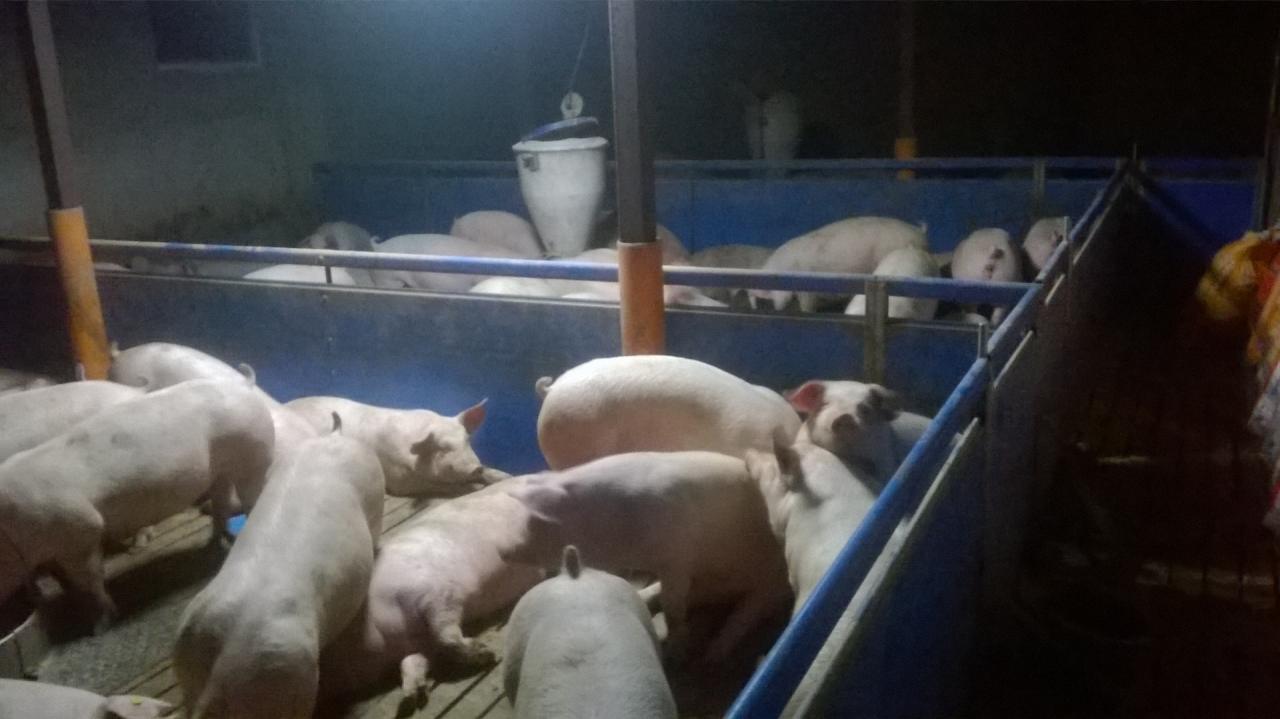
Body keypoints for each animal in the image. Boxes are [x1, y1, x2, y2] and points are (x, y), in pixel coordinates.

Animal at [284, 396, 497, 496]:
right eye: (442, 448)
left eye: (467, 440)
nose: (475, 467)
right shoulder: (399, 481)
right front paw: (477, 487)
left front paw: (500, 477)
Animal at [318, 481, 545, 702]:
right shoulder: (421, 645)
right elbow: (413, 662)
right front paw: (413, 693)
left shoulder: (436, 593)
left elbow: (446, 637)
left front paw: (487, 654)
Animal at [506, 450, 793, 661]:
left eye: (532, 525)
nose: (504, 550)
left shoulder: (677, 558)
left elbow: (673, 607)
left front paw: (677, 654)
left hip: (767, 586)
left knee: (747, 613)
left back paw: (712, 655)